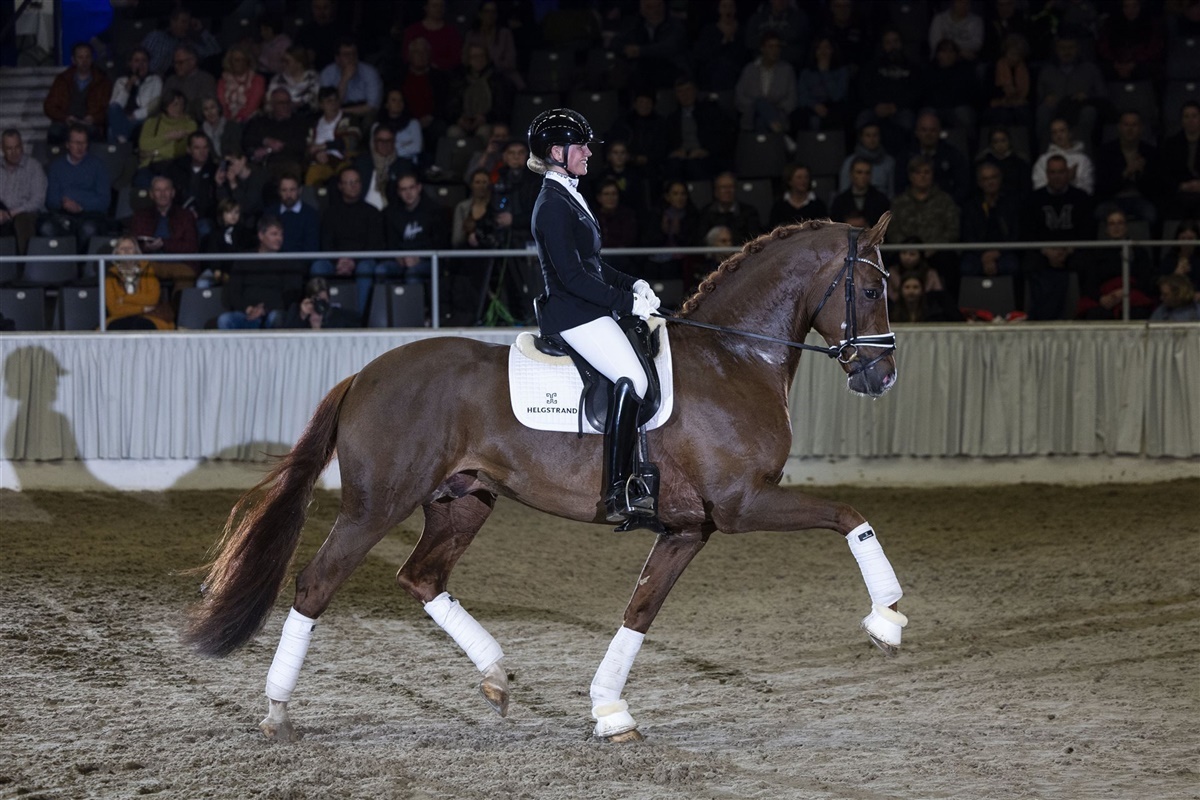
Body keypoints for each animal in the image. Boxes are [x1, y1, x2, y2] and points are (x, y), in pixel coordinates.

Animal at [185, 213, 907, 743]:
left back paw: (497, 675)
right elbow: (851, 517)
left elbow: (640, 611)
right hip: (374, 508)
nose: (882, 378)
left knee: (421, 578)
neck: (733, 357)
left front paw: (610, 712)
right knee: (316, 584)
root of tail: (363, 375)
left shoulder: (688, 528)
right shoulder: (743, 503)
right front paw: (887, 620)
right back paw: (277, 713)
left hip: (463, 500)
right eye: (872, 291)